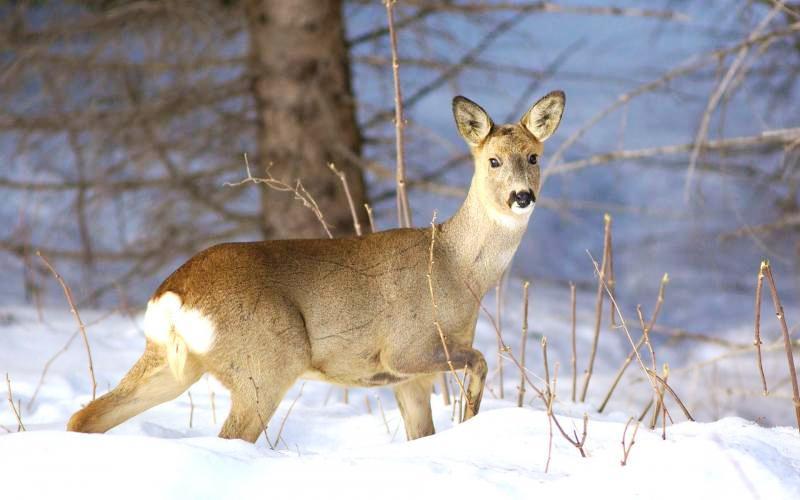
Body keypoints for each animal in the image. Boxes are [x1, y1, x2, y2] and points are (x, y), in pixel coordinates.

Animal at [69, 90, 564, 442]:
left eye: (534, 156)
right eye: (493, 160)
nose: (522, 196)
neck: (455, 267)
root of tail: (174, 293)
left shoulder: (409, 379)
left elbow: (421, 434)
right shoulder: (405, 348)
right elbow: (479, 361)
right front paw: (470, 417)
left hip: (172, 362)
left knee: (87, 415)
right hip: (266, 361)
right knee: (231, 435)